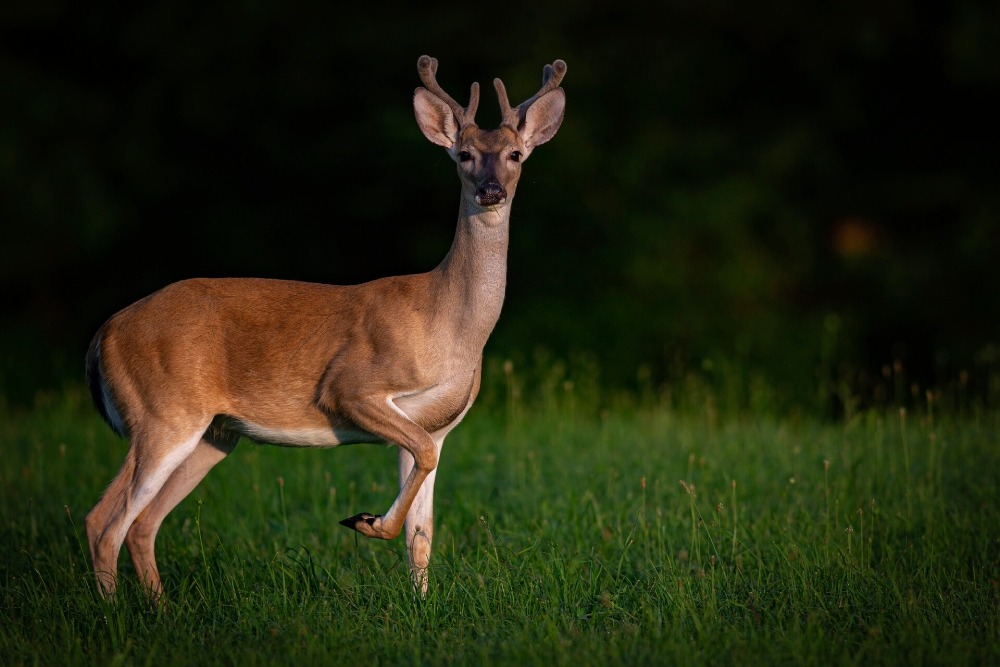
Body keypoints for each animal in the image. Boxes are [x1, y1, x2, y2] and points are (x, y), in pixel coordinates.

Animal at [84, 56, 572, 600]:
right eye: (464, 155)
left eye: (514, 154)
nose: (491, 191)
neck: (448, 324)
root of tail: (103, 335)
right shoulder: (350, 387)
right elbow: (413, 478)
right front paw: (365, 521)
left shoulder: (437, 428)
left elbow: (421, 531)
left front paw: (420, 603)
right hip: (162, 413)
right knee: (103, 521)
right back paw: (113, 613)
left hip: (211, 433)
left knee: (142, 524)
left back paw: (160, 609)